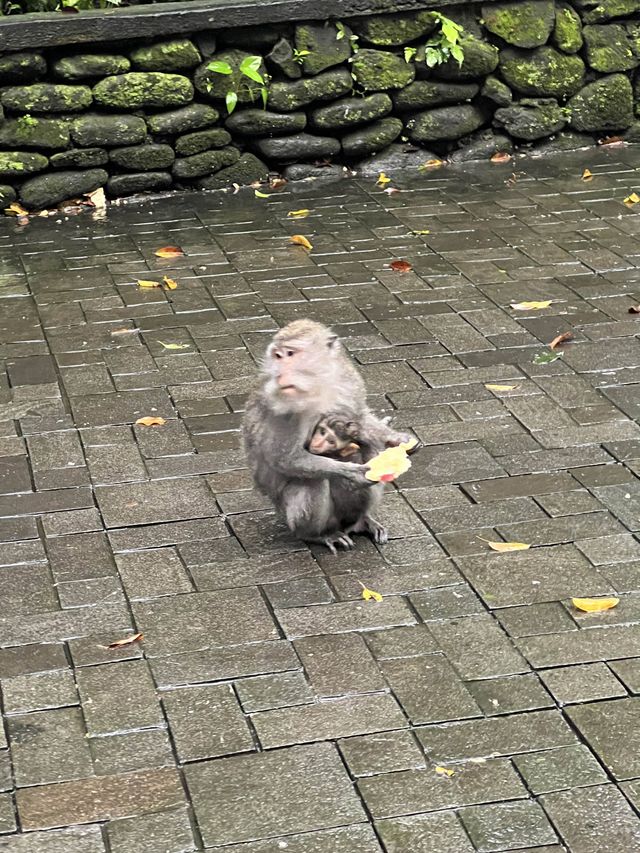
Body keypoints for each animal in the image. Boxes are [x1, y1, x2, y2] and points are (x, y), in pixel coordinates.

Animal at [242, 320, 412, 552]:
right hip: (291, 515)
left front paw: (393, 435)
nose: (281, 371)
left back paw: (364, 519)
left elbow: (360, 416)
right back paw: (317, 535)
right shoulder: (282, 406)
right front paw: (353, 473)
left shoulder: (347, 378)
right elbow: (285, 458)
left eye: (290, 353)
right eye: (278, 355)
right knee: (314, 482)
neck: (316, 385)